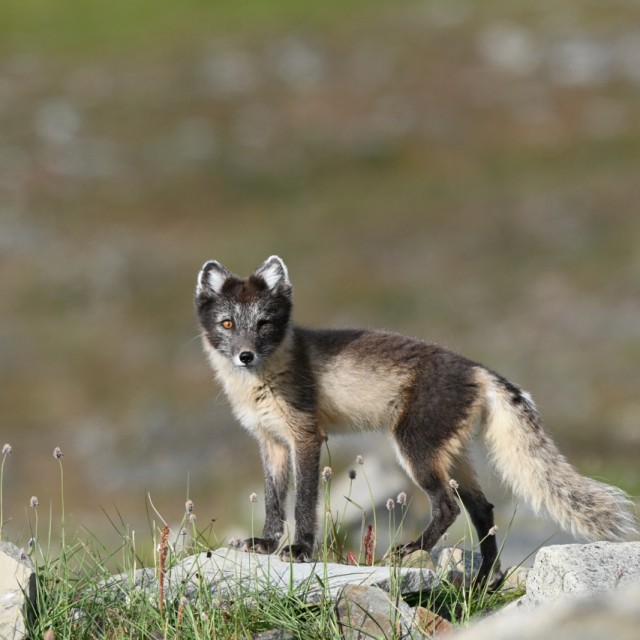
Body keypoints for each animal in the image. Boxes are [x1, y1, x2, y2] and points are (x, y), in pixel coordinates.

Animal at [194, 255, 637, 583]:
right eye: (228, 324)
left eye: (264, 324)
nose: (245, 355)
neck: (259, 384)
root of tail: (478, 370)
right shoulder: (270, 442)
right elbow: (273, 499)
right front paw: (266, 544)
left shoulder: (305, 435)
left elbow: (303, 501)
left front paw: (301, 549)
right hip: (450, 455)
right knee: (483, 508)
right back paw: (486, 579)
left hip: (414, 448)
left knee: (449, 507)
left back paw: (415, 549)